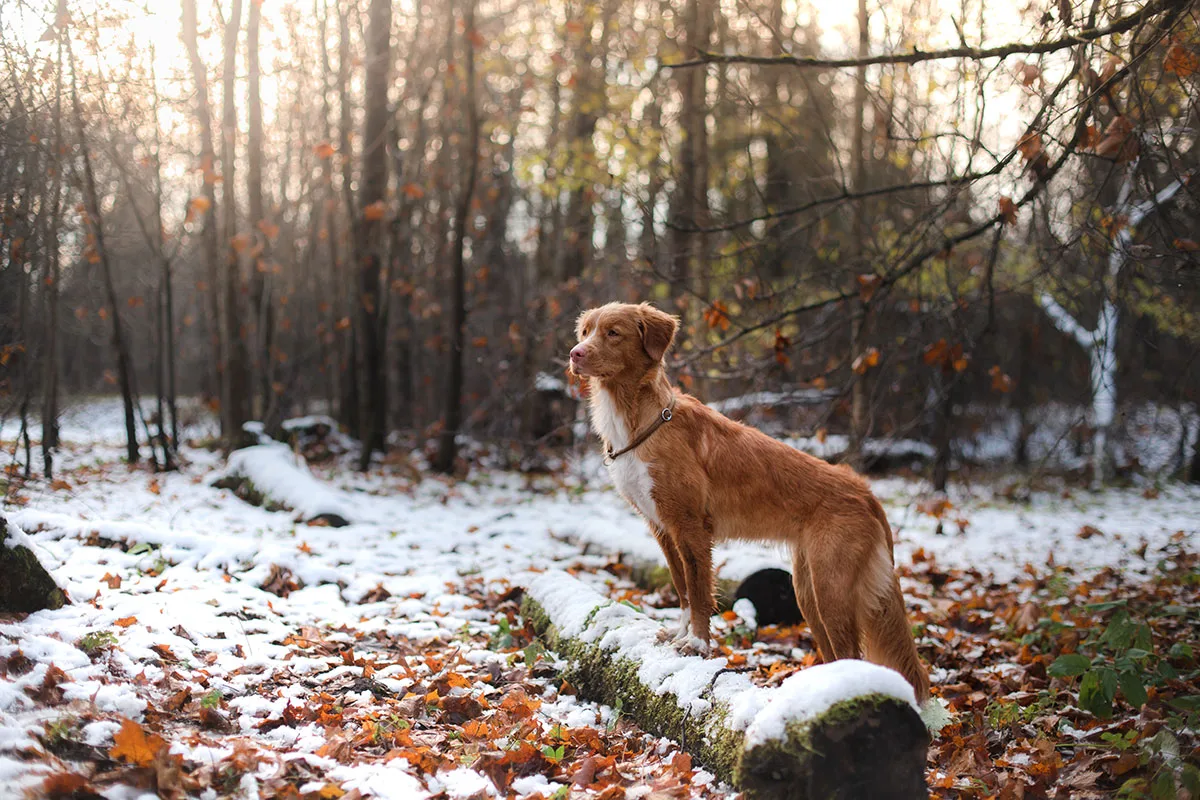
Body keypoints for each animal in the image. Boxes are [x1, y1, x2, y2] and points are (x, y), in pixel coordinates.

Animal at [568, 299, 926, 700]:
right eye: (585, 333)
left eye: (613, 333)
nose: (574, 354)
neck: (639, 420)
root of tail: (865, 491)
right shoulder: (662, 527)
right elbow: (682, 588)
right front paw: (679, 634)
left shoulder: (691, 527)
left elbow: (699, 591)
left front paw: (697, 644)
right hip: (807, 590)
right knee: (835, 651)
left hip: (831, 587)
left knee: (852, 652)